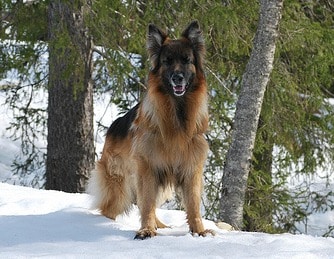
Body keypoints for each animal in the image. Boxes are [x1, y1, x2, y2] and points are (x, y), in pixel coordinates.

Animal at [87, 21, 211, 241]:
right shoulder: (148, 168)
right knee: (112, 208)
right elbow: (146, 205)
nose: (177, 78)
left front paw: (199, 231)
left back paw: (160, 225)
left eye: (186, 60)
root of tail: (113, 127)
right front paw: (146, 230)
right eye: (167, 61)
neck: (177, 114)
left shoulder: (191, 168)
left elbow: (193, 205)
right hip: (120, 185)